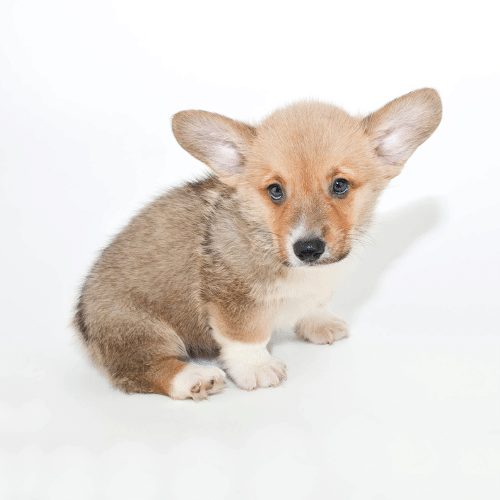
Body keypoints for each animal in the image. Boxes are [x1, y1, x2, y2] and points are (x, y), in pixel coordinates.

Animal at [74, 89, 442, 398]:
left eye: (340, 185)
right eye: (275, 191)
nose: (308, 249)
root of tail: (82, 320)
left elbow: (312, 303)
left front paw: (318, 322)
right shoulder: (233, 297)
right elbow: (245, 336)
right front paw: (257, 367)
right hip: (138, 328)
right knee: (137, 371)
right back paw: (194, 378)